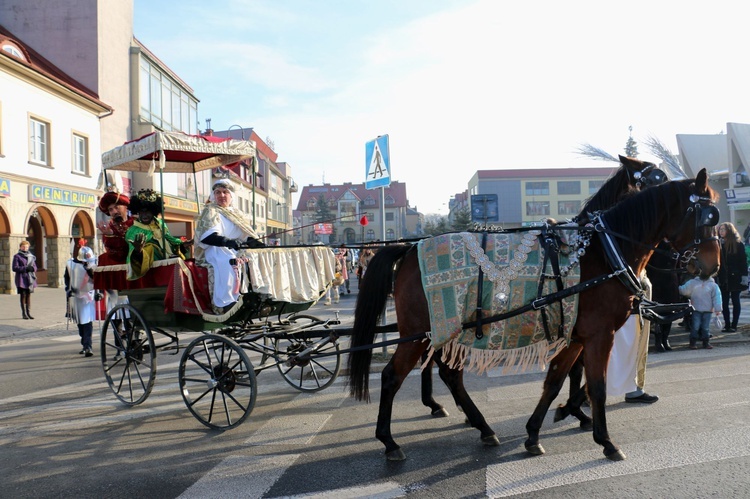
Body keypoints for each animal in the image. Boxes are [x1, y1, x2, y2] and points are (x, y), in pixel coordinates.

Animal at [348, 170, 724, 462]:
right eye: (708, 217)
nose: (713, 265)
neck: (603, 252)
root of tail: (409, 248)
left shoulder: (576, 336)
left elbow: (556, 380)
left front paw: (534, 433)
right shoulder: (600, 335)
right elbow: (598, 386)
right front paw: (605, 441)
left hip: (441, 332)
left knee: (449, 376)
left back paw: (482, 427)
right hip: (421, 333)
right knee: (392, 377)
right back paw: (389, 441)